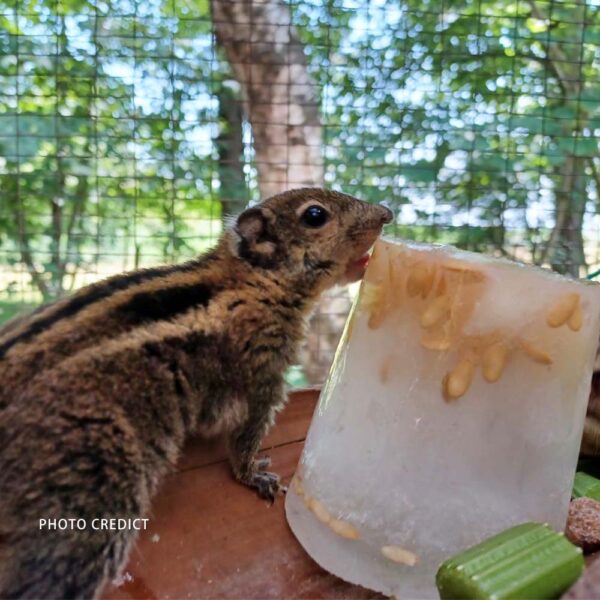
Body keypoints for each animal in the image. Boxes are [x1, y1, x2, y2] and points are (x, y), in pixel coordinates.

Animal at [0, 189, 392, 600]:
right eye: (315, 215)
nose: (387, 214)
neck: (253, 281)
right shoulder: (263, 379)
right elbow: (245, 437)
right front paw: (255, 476)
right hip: (93, 489)